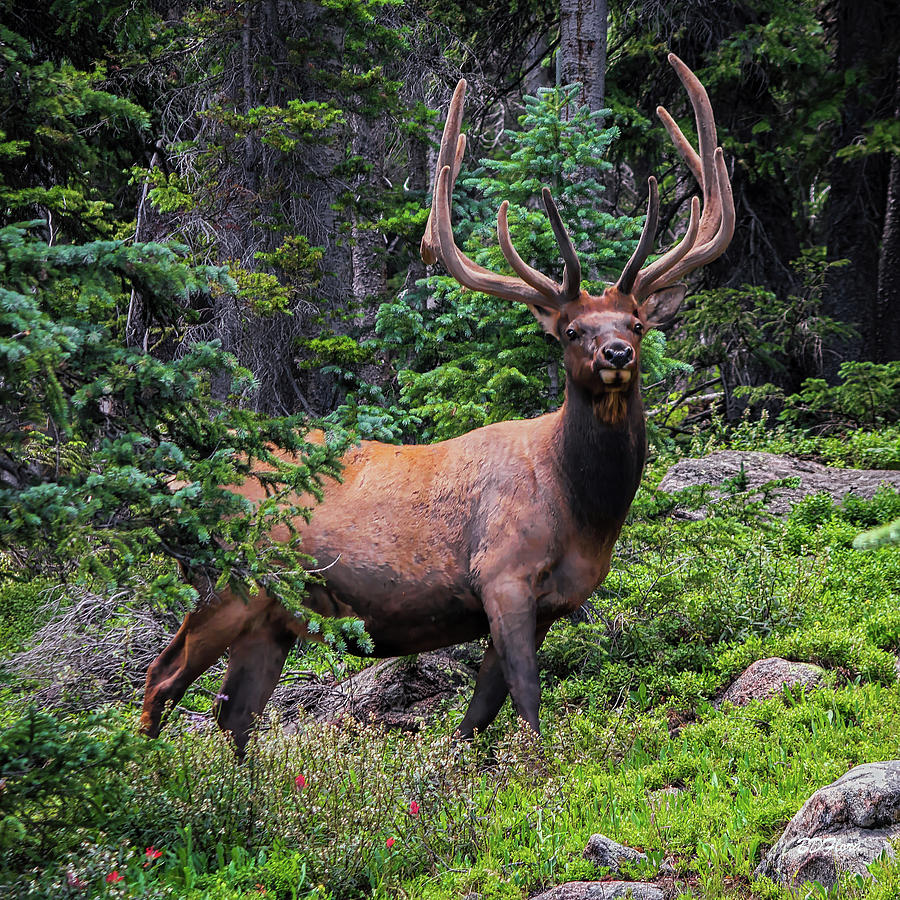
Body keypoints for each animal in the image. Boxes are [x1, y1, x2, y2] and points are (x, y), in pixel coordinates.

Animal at [139, 54, 732, 752]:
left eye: (637, 323)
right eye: (570, 330)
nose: (616, 353)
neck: (579, 505)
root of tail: (176, 486)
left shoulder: (545, 603)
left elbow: (479, 715)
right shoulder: (503, 573)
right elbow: (527, 705)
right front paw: (535, 773)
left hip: (272, 616)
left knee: (234, 714)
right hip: (233, 582)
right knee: (161, 678)